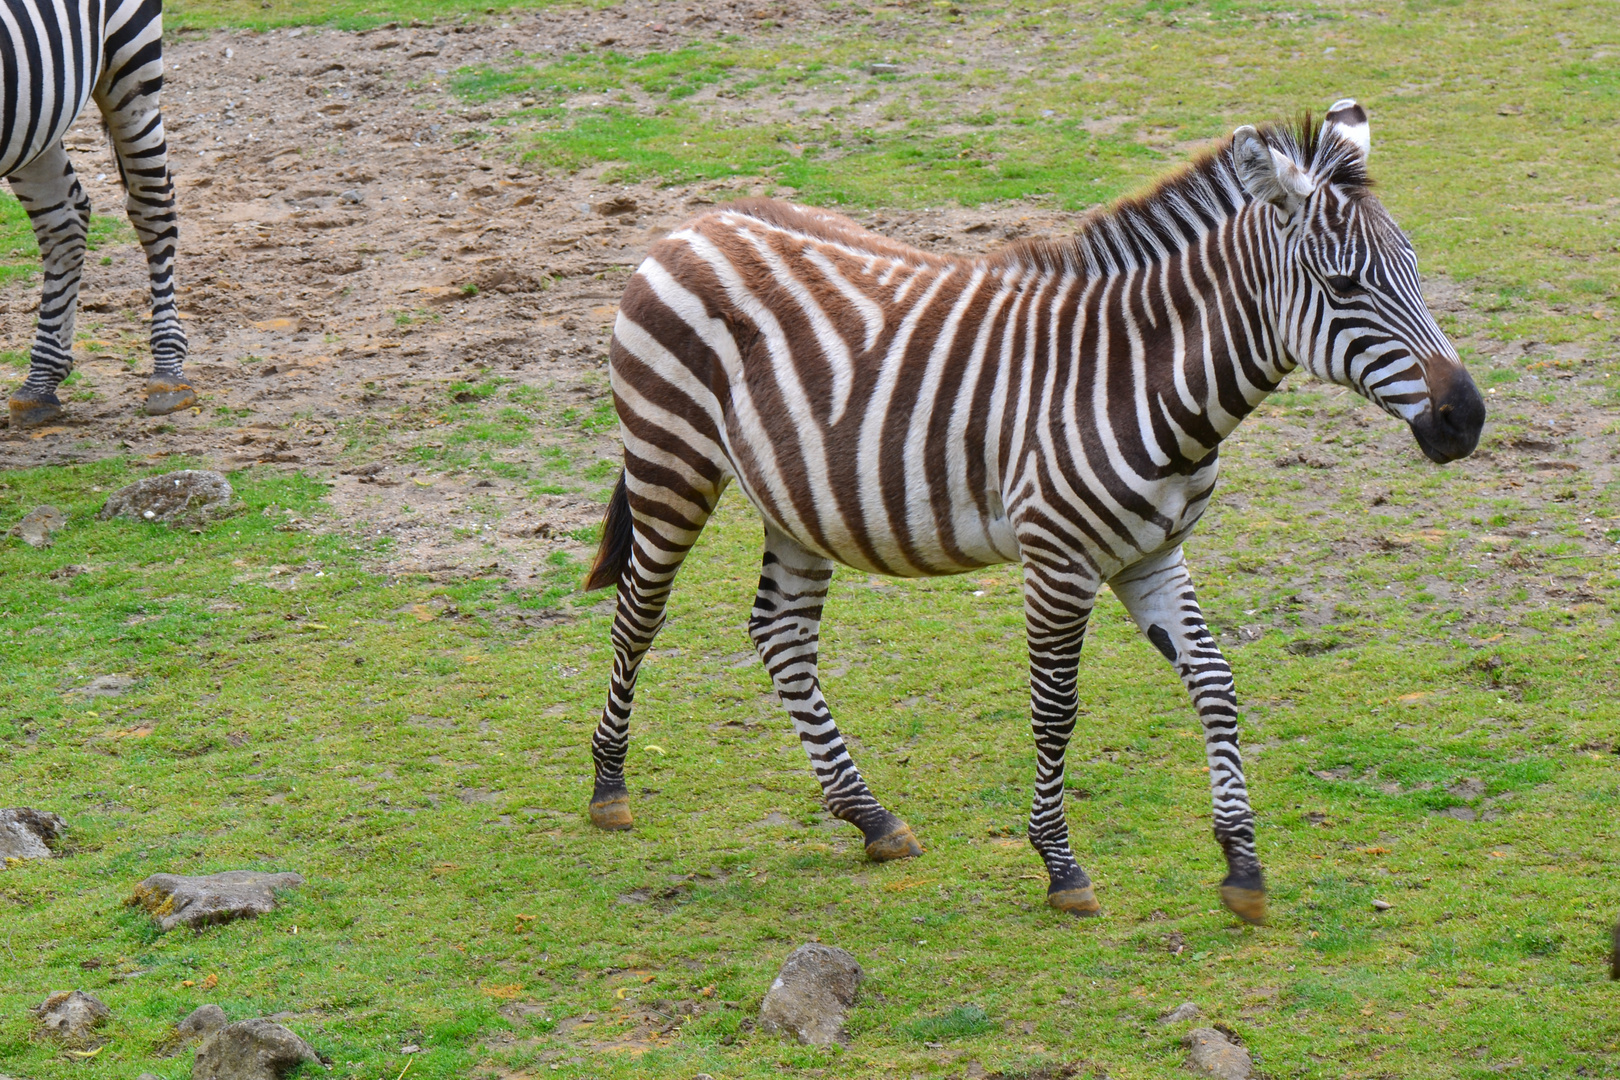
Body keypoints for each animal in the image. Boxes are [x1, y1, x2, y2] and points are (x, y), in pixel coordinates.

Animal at [1, 0, 192, 430]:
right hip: (37, 108)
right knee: (64, 222)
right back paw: (41, 383)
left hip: (130, 62)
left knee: (152, 206)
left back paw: (168, 373)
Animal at [576, 101, 1483, 926]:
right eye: (1344, 285)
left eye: (1413, 267)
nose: (1467, 420)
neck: (1139, 381)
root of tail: (695, 224)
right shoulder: (1059, 560)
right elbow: (1056, 710)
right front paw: (1060, 866)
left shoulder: (1153, 553)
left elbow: (1217, 683)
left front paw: (1243, 866)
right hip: (670, 461)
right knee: (638, 613)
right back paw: (609, 787)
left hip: (794, 498)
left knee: (781, 633)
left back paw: (869, 816)